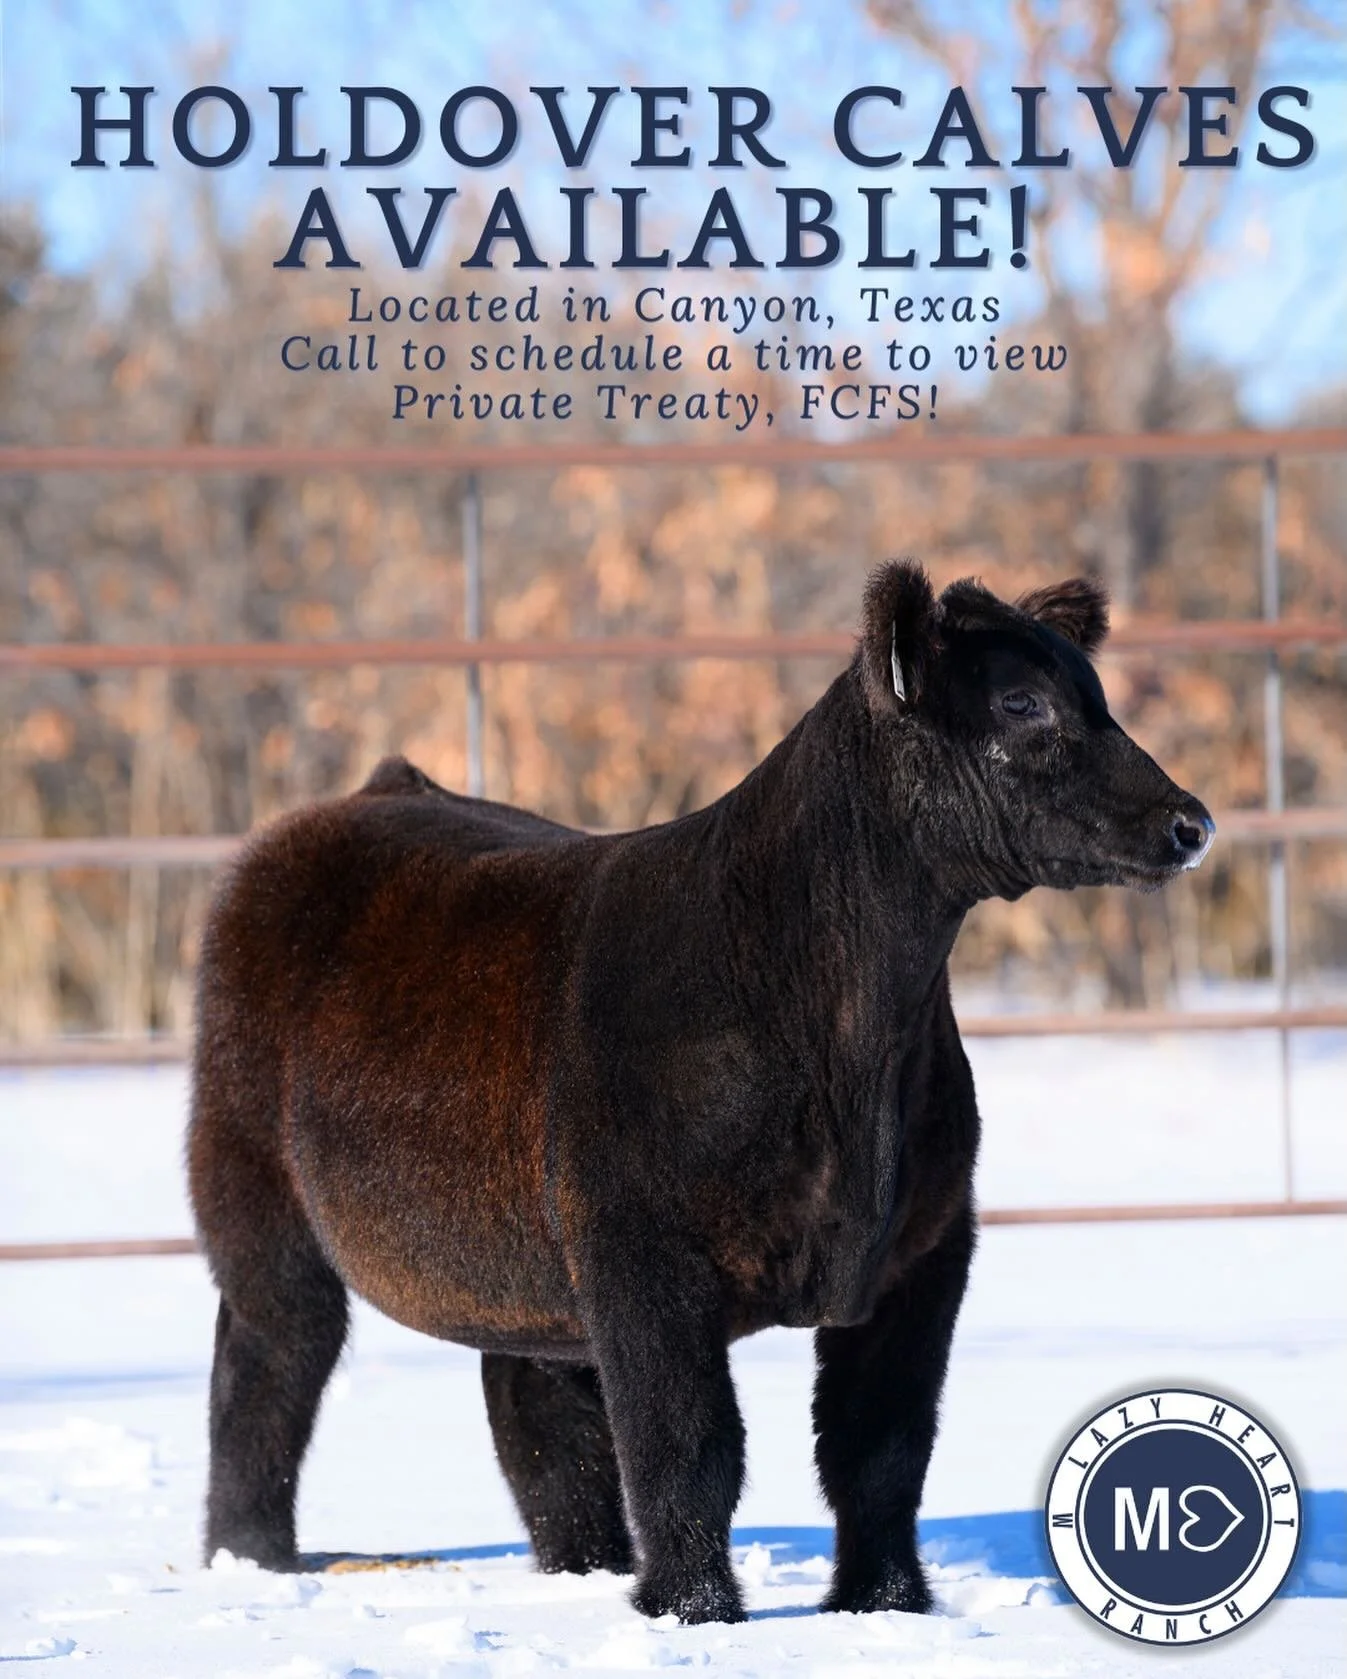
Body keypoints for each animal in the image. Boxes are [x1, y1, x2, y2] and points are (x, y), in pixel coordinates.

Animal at [187, 561, 1214, 1624]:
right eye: (1021, 702)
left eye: (1093, 693)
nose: (1189, 821)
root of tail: (371, 792)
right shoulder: (643, 1250)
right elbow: (688, 1443)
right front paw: (694, 1610)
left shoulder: (926, 1244)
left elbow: (880, 1448)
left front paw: (883, 1604)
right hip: (257, 1193)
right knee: (267, 1364)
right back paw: (252, 1560)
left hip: (517, 1251)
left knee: (537, 1409)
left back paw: (584, 1570)